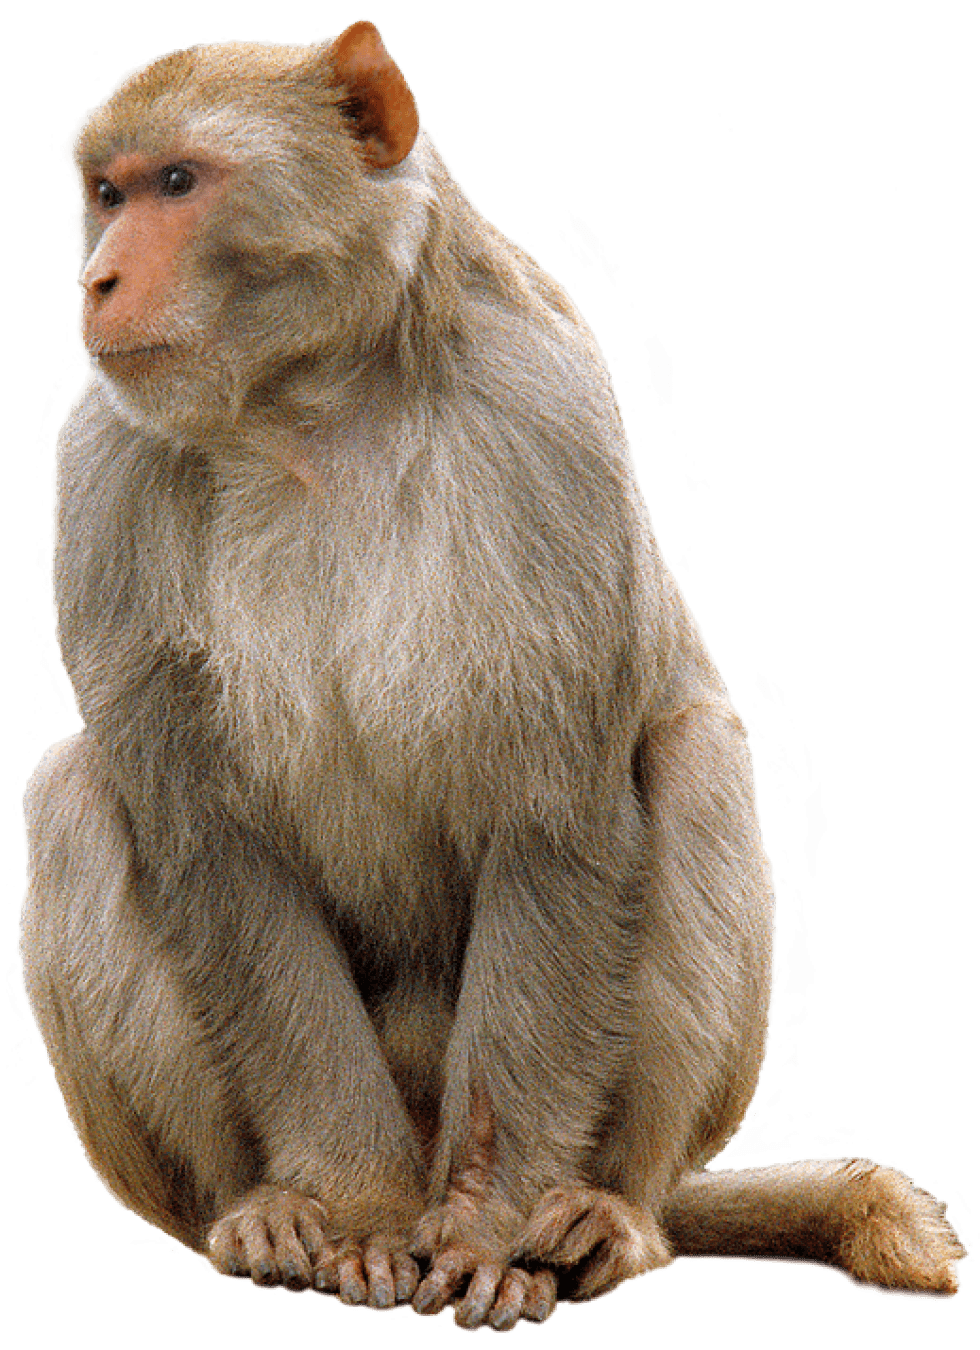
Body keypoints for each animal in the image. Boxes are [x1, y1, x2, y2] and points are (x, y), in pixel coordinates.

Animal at [18, 19, 964, 1331]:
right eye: (106, 195)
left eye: (176, 182)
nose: (98, 281)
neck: (310, 403)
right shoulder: (101, 466)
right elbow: (213, 848)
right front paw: (355, 1213)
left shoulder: (541, 420)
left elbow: (553, 818)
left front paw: (482, 1230)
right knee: (71, 792)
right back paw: (257, 1217)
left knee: (690, 760)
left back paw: (602, 1220)